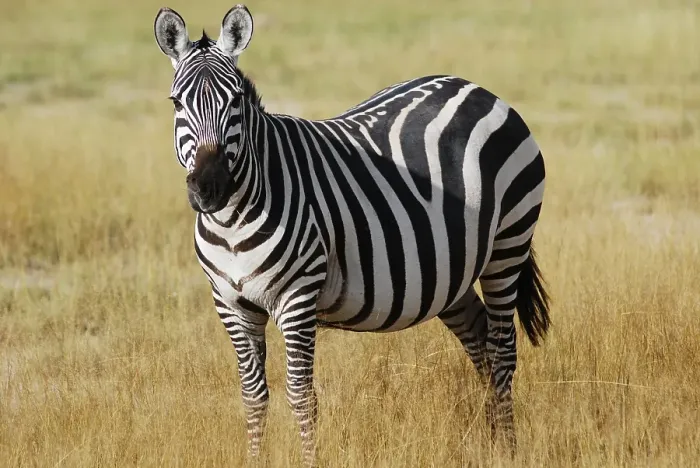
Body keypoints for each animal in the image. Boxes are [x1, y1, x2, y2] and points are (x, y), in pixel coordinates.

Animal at [154, 5, 550, 466]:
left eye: (235, 100)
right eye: (176, 102)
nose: (209, 188)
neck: (233, 220)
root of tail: (476, 89)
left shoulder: (298, 298)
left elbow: (301, 396)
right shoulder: (231, 305)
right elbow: (253, 396)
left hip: (508, 245)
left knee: (502, 352)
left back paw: (508, 450)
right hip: (451, 271)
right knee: (480, 340)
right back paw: (490, 443)